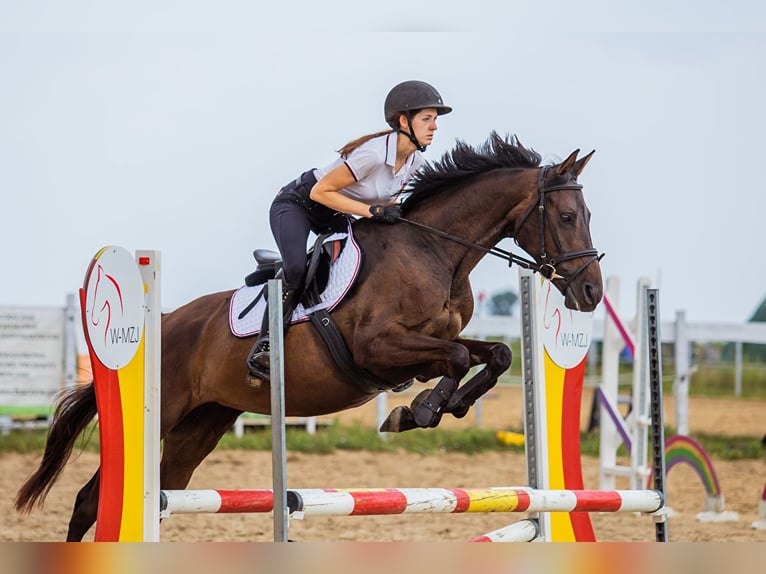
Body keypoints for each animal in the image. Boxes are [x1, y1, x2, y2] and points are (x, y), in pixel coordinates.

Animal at [13, 133, 608, 544]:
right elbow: (459, 356)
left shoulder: (425, 348)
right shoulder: (379, 349)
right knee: (90, 499)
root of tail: (167, 320)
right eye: (566, 215)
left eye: (586, 213)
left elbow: (496, 354)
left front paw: (436, 408)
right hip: (161, 411)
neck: (434, 251)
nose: (591, 293)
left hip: (199, 427)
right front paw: (419, 411)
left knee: (156, 490)